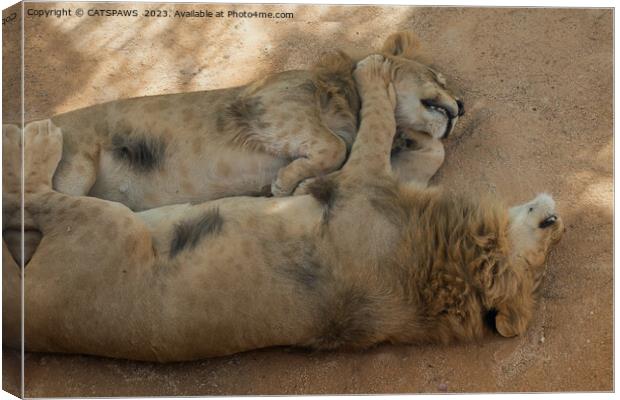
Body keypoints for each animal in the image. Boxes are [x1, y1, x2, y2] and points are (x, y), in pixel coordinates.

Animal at [1, 54, 560, 362]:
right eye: (437, 77)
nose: (462, 106)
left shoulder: (377, 174)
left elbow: (417, 150)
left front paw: (294, 179)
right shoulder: (276, 110)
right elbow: (342, 141)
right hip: (80, 168)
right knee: (19, 193)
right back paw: (35, 138)